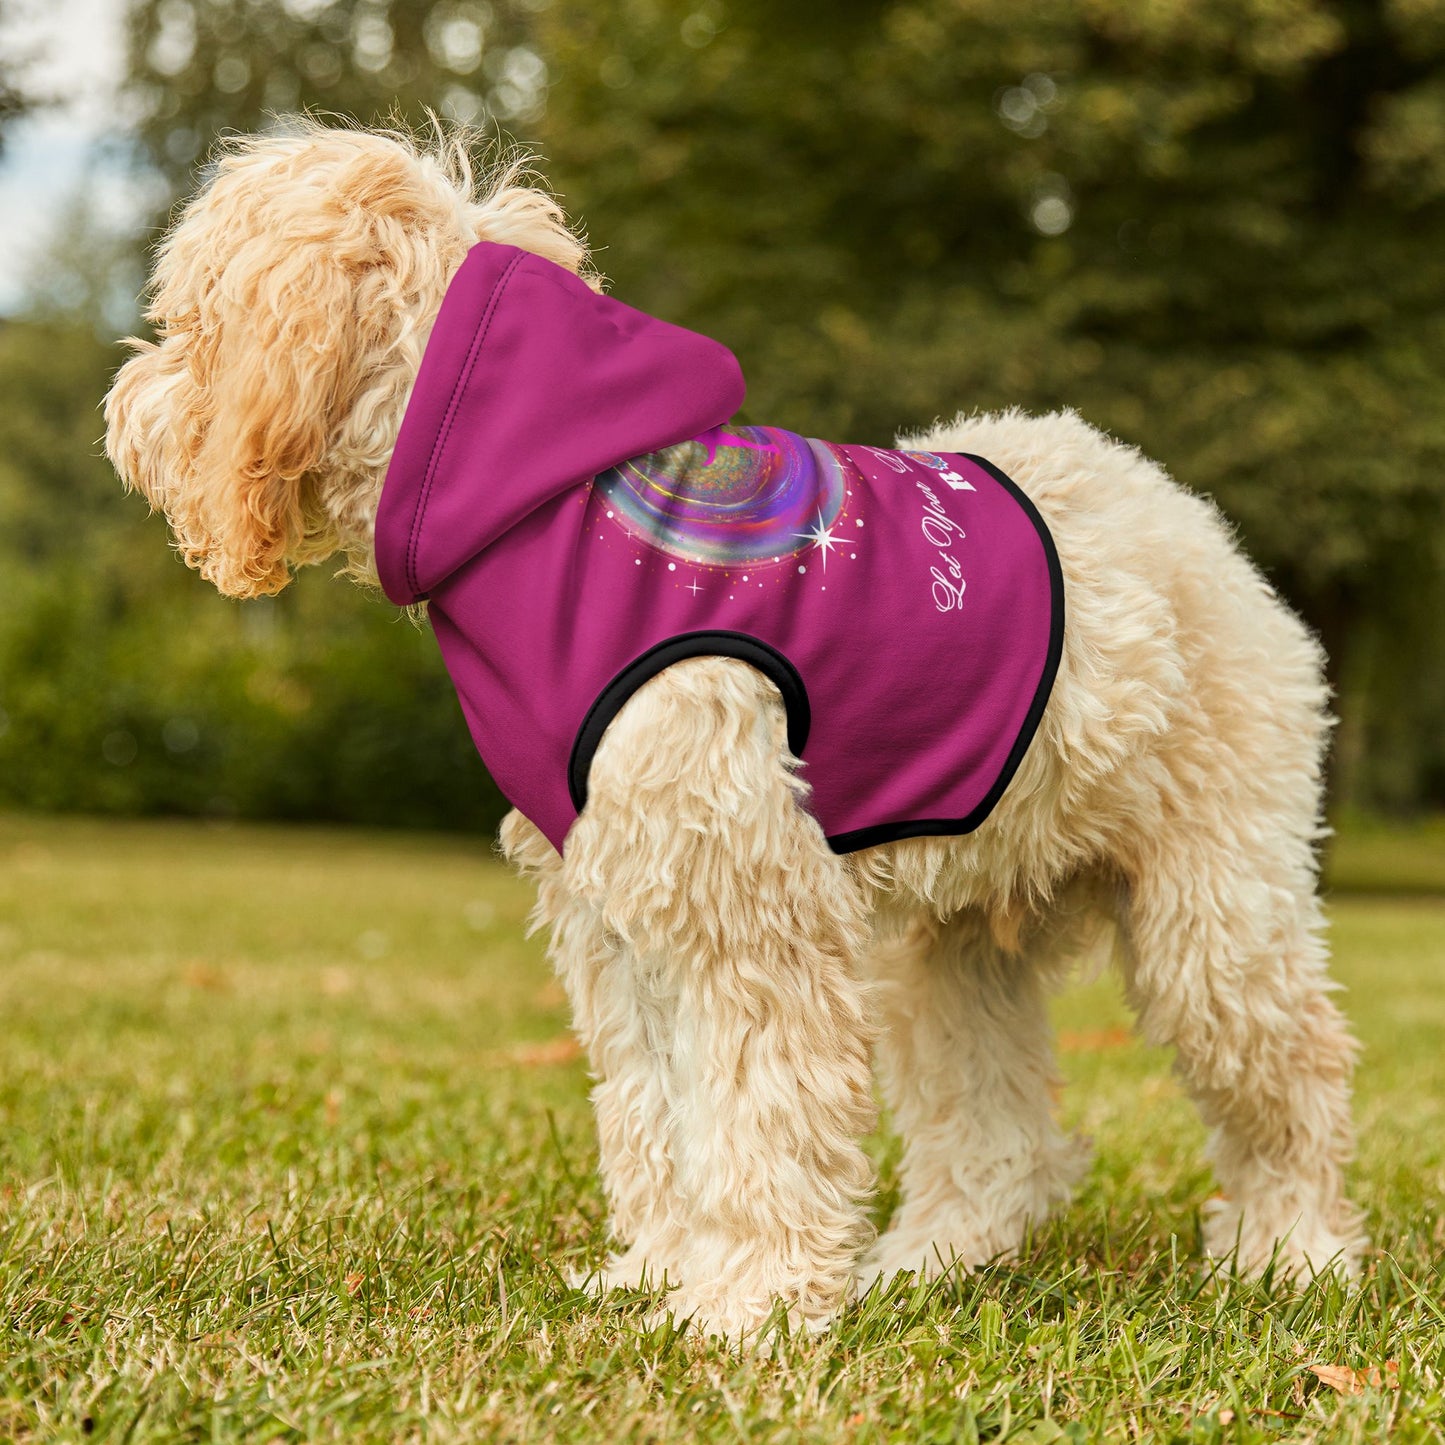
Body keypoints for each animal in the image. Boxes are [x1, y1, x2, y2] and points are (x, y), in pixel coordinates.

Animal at [104, 124, 1364, 1340]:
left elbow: (758, 1114)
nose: (123, 408)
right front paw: (662, 1273)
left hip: (1213, 914)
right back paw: (929, 1260)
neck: (539, 503)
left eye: (190, 319)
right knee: (996, 1134)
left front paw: (747, 1304)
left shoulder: (744, 907)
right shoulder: (619, 913)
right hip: (950, 947)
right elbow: (656, 1112)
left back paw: (1290, 1252)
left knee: (1293, 1076)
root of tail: (1188, 518)